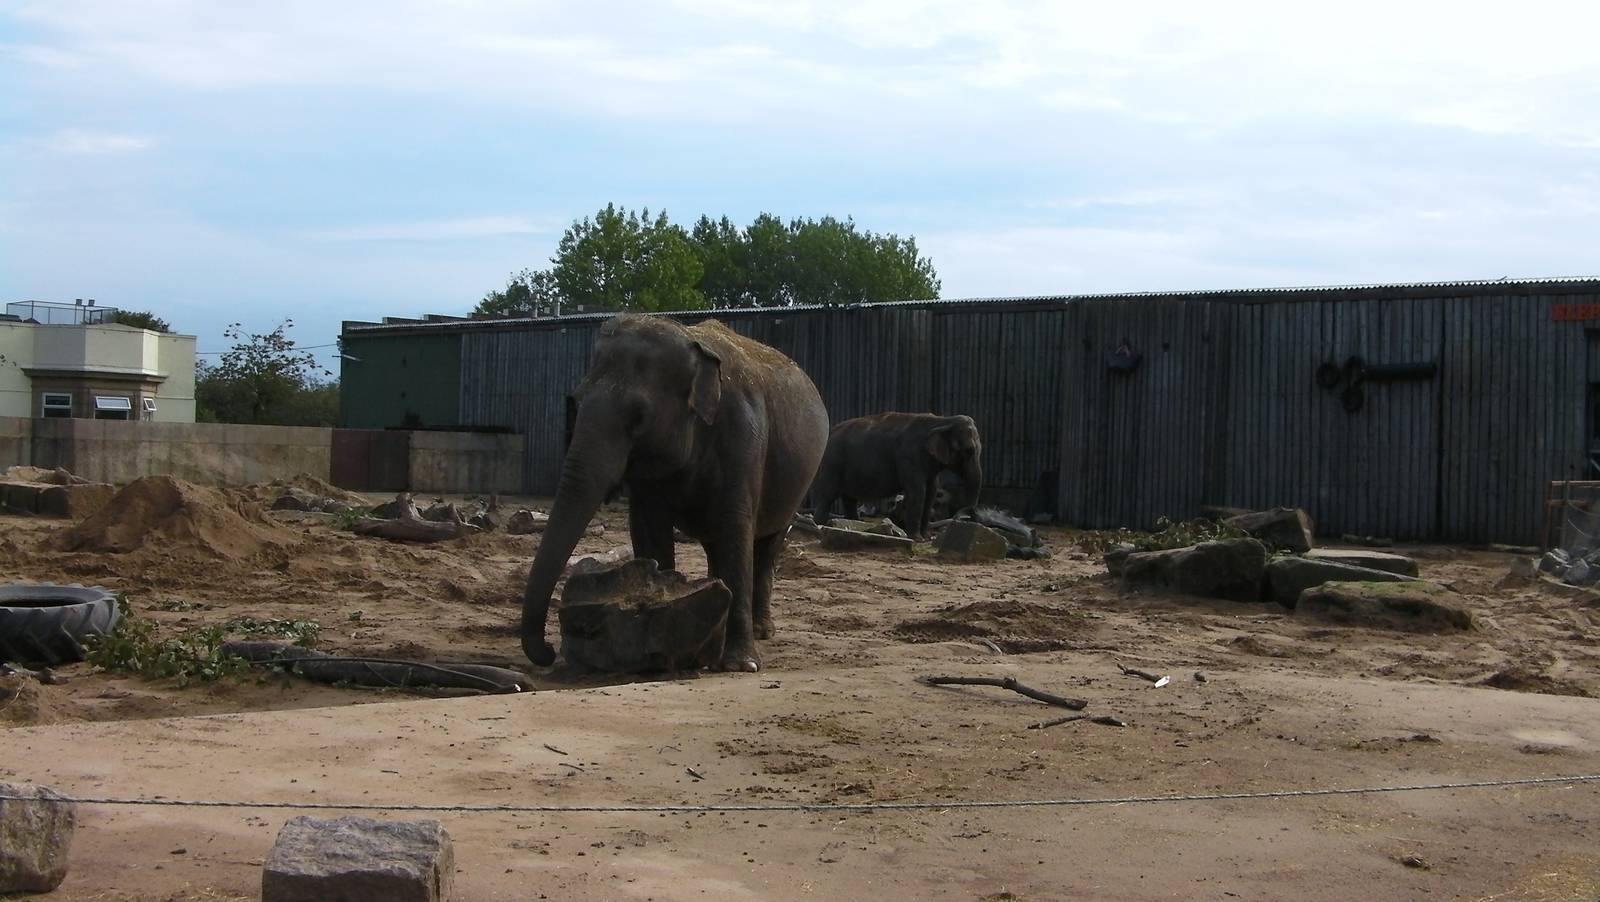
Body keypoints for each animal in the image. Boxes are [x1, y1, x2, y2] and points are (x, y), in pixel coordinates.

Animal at [520, 313, 830, 673]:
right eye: (577, 400)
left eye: (639, 417)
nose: (548, 652)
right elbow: (648, 527)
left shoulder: (744, 438)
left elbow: (736, 527)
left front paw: (742, 665)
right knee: (715, 545)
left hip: (798, 484)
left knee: (768, 545)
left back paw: (763, 630)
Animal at [808, 412, 983, 540]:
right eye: (968, 451)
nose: (965, 517)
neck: (942, 421)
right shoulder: (910, 457)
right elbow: (917, 492)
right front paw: (917, 539)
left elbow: (931, 492)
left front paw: (926, 538)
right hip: (832, 462)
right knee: (828, 496)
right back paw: (818, 526)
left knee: (850, 499)